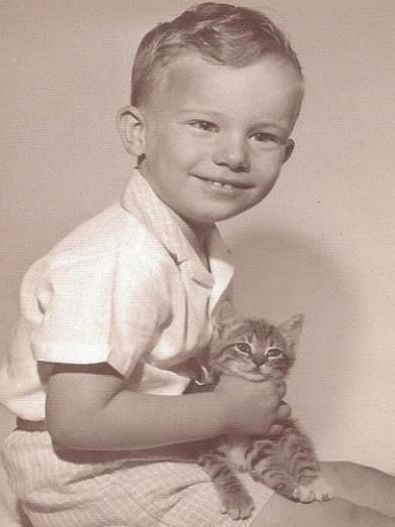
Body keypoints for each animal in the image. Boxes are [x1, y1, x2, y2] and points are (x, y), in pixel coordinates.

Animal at [186, 304, 334, 520]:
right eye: (243, 347)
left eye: (273, 352)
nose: (258, 361)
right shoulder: (205, 444)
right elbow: (222, 470)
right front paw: (237, 499)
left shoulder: (262, 438)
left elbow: (270, 467)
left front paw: (291, 485)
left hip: (289, 429)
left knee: (301, 452)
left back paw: (314, 482)